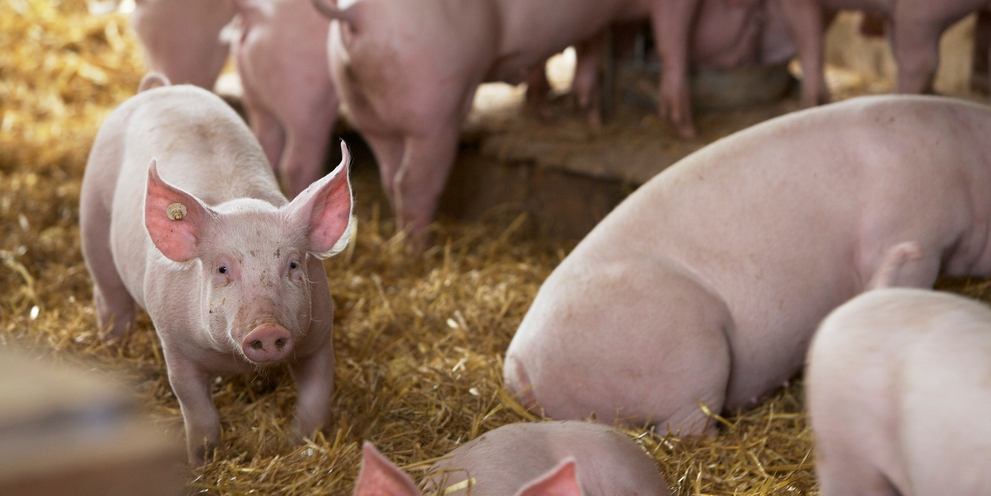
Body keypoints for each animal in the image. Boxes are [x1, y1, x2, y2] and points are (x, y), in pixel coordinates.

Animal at [79, 73, 353, 463]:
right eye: (222, 269)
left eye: (292, 264)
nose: (266, 327)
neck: (234, 362)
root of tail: (158, 89)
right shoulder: (175, 345)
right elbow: (197, 409)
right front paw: (202, 460)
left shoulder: (319, 334)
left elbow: (317, 398)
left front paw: (298, 443)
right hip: (92, 214)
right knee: (110, 294)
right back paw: (113, 343)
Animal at [313, 0, 702, 240]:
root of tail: (356, 12)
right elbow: (673, 43)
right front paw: (686, 131)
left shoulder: (596, 21)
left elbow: (590, 49)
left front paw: (586, 119)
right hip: (434, 110)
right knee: (413, 184)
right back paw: (420, 251)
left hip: (364, 109)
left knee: (390, 175)